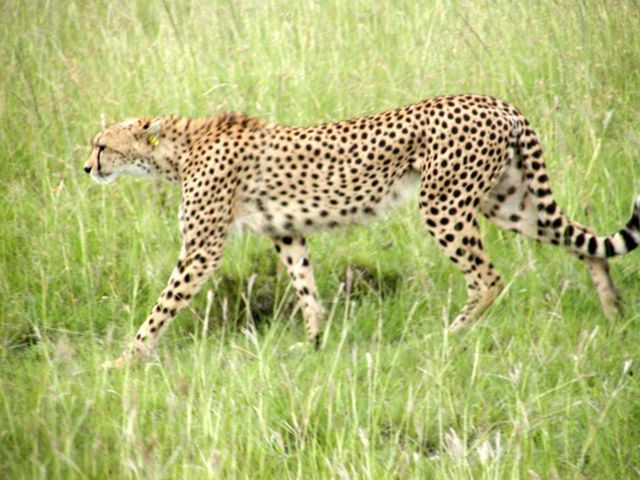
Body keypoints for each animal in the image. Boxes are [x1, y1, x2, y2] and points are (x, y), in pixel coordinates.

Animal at [86, 94, 640, 368]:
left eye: (102, 145)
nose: (86, 168)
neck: (176, 150)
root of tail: (495, 101)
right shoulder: (286, 233)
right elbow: (306, 288)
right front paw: (313, 344)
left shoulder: (201, 250)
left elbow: (162, 306)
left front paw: (125, 359)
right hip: (507, 201)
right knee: (584, 242)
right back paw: (613, 312)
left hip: (443, 205)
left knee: (488, 277)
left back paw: (451, 334)